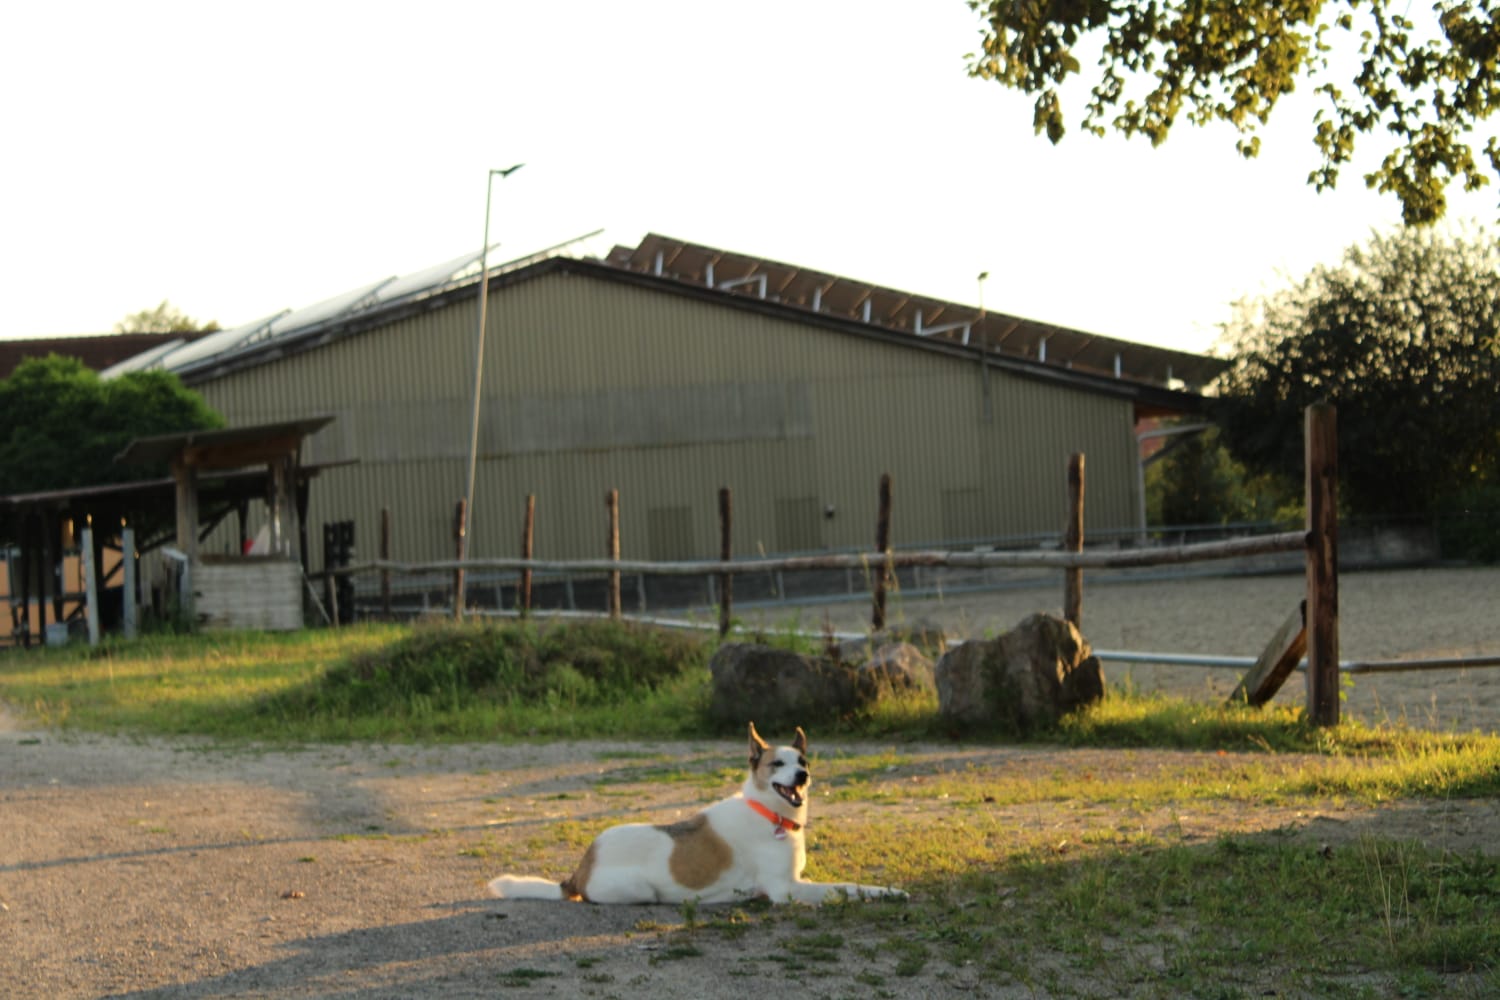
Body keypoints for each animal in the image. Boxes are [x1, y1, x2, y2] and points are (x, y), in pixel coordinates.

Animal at [486, 719, 900, 905]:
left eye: (802, 761)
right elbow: (845, 887)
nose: (803, 775)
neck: (769, 813)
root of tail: (581, 866)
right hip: (641, 890)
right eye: (777, 764)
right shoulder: (786, 889)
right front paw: (889, 891)